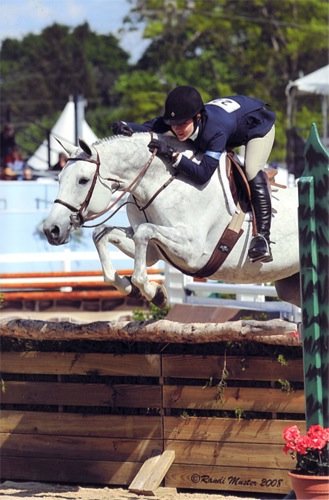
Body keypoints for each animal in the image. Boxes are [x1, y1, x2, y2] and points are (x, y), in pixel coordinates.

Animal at [43, 131, 300, 306]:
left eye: (83, 180)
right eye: (59, 178)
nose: (51, 230)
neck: (163, 182)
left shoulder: (194, 252)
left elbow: (143, 232)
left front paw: (153, 293)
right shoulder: (154, 252)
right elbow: (102, 234)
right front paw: (129, 287)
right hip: (290, 285)